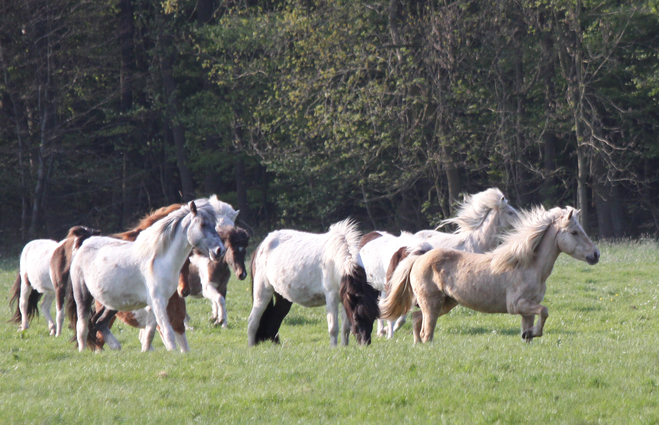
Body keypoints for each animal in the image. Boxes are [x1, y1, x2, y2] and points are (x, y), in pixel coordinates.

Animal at [68, 199, 226, 352]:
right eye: (203, 224)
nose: (220, 250)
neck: (159, 259)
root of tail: (85, 243)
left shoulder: (159, 303)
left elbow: (151, 333)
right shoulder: (157, 301)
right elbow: (167, 332)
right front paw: (173, 353)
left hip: (112, 304)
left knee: (99, 323)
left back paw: (115, 347)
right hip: (82, 295)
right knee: (82, 327)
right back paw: (83, 352)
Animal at [249, 220, 382, 346]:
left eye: (373, 318)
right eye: (357, 317)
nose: (365, 343)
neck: (338, 260)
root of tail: (260, 247)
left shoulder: (345, 298)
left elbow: (345, 328)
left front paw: (344, 347)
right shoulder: (332, 297)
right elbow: (334, 328)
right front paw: (334, 348)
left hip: (283, 297)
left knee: (274, 321)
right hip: (263, 292)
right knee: (252, 321)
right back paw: (251, 346)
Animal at [382, 207, 604, 342]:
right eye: (574, 232)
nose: (595, 255)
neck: (528, 266)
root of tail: (418, 258)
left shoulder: (527, 310)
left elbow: (531, 327)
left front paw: (529, 334)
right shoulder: (518, 304)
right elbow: (545, 311)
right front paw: (536, 332)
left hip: (444, 304)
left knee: (416, 320)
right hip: (432, 304)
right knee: (426, 331)